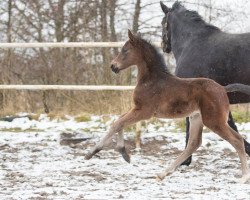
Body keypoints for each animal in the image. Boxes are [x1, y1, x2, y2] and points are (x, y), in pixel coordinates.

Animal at [86, 29, 250, 183]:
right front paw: (124, 154)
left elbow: (117, 123)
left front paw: (92, 152)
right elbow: (119, 121)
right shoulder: (138, 109)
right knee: (194, 143)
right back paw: (162, 173)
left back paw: (244, 177)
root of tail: (223, 88)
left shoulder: (144, 111)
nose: (113, 66)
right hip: (196, 117)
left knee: (237, 140)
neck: (151, 80)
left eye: (125, 50)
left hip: (214, 121)